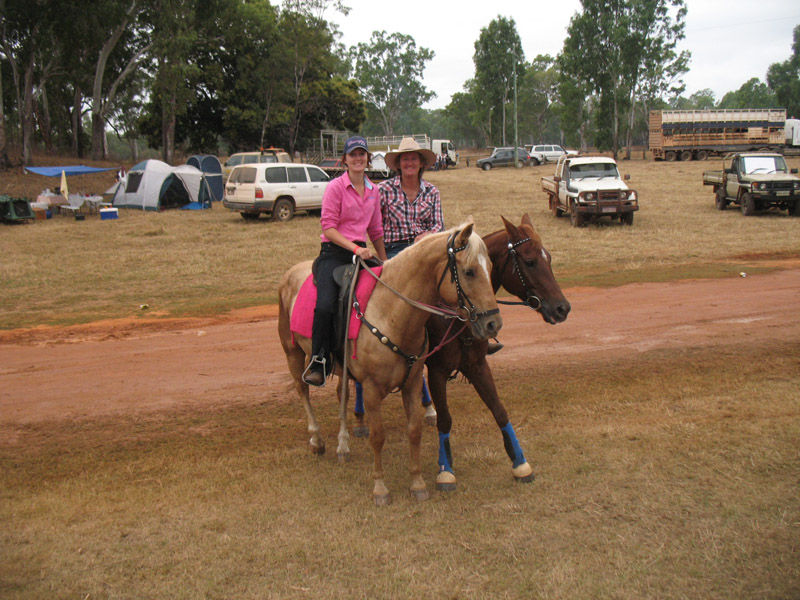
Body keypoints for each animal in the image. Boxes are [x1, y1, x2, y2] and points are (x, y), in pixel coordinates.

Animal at [276, 218, 500, 504]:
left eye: (490, 268)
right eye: (470, 272)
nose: (493, 323)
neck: (391, 312)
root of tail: (290, 273)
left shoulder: (413, 382)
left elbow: (414, 430)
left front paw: (417, 483)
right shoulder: (371, 389)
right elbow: (377, 436)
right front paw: (380, 488)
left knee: (341, 396)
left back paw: (343, 445)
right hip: (292, 351)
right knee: (303, 389)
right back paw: (316, 439)